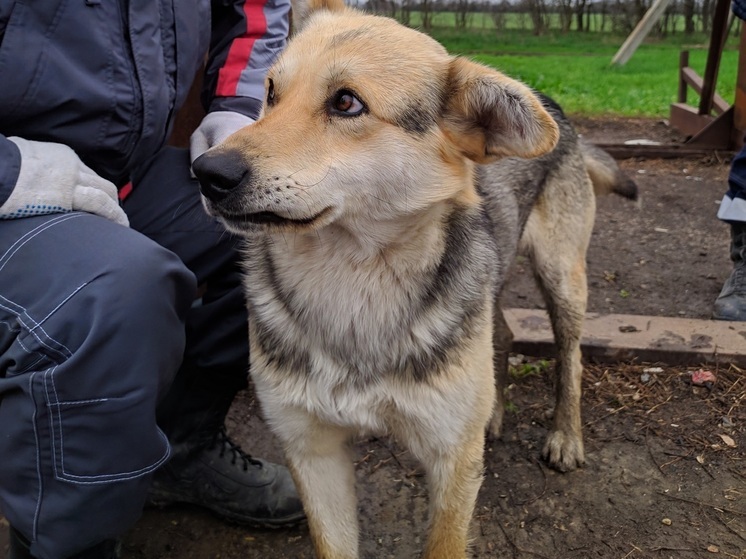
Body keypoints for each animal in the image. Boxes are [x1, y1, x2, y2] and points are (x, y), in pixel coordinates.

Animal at [190, 2, 632, 556]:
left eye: (347, 103)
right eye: (270, 92)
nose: (207, 172)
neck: (351, 283)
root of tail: (552, 102)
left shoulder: (451, 460)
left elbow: (445, 540)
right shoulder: (311, 450)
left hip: (562, 277)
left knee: (570, 356)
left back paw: (565, 437)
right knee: (503, 333)